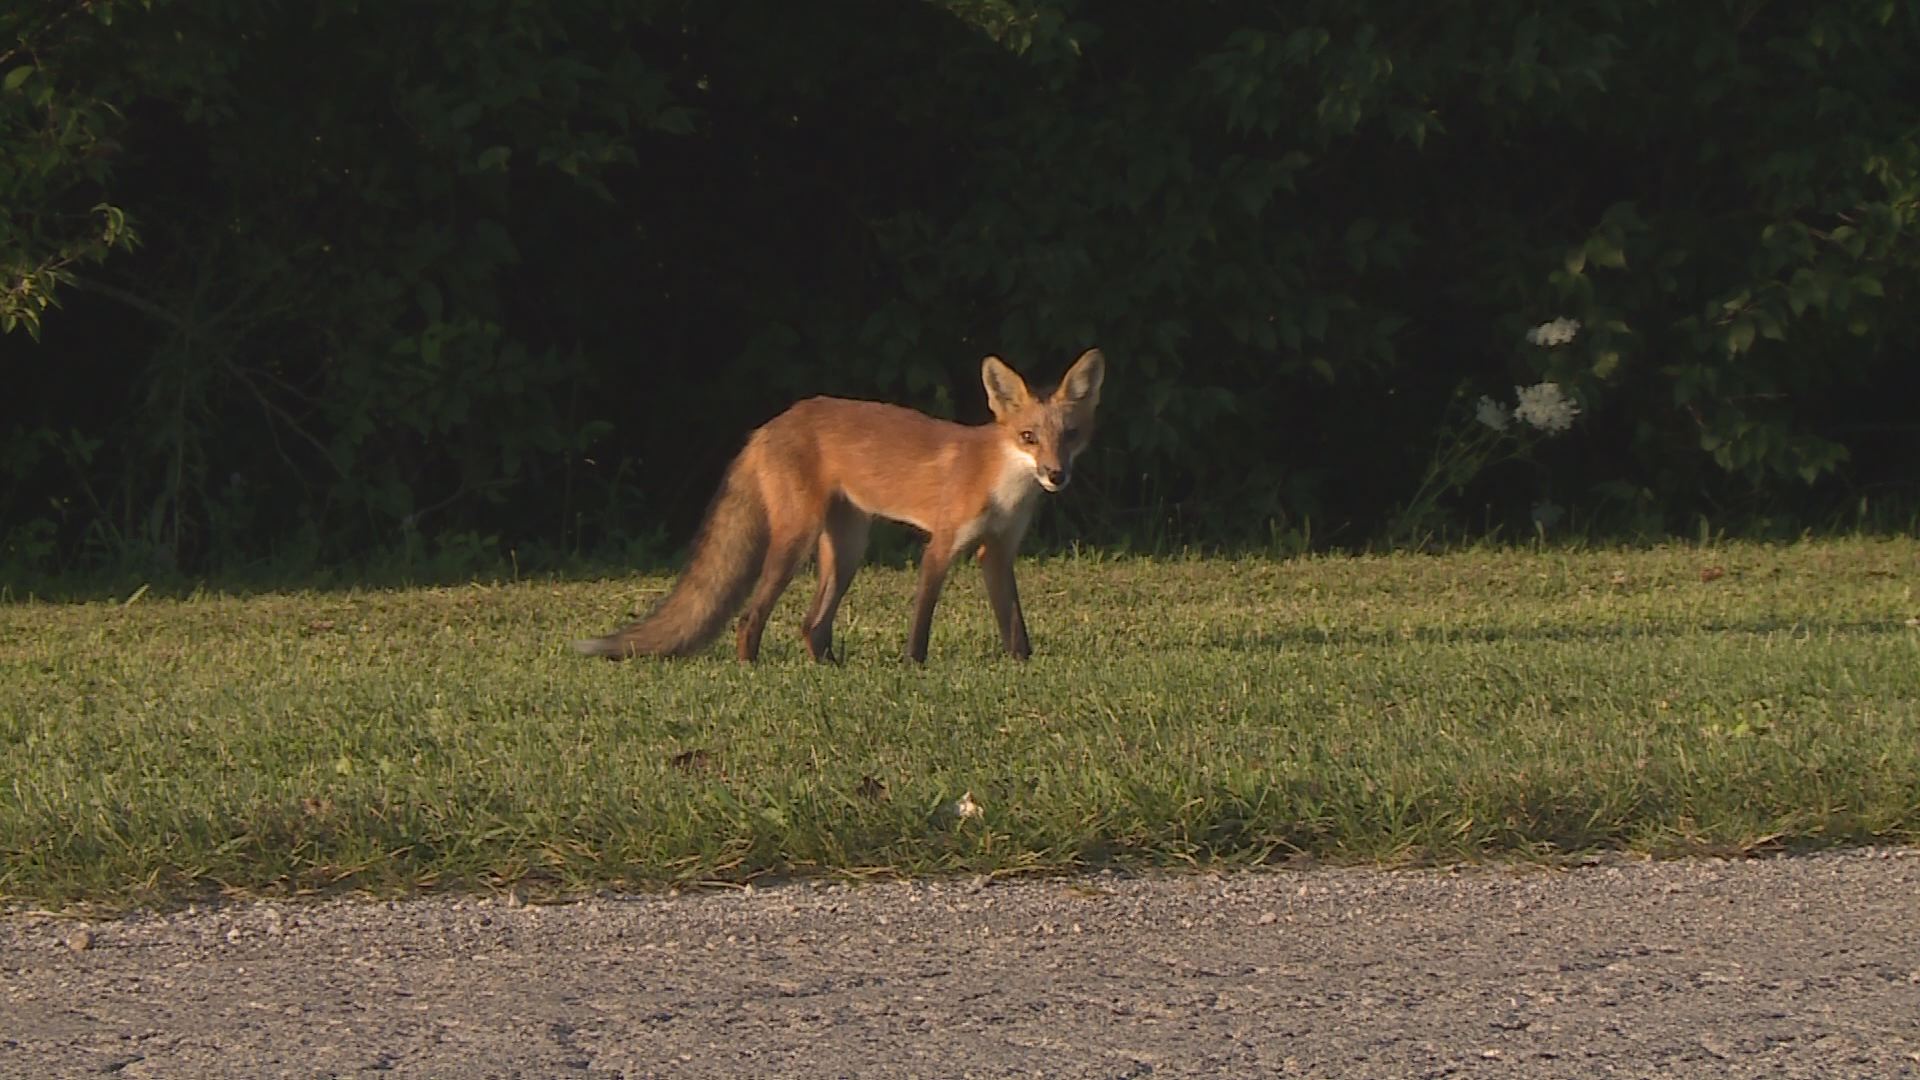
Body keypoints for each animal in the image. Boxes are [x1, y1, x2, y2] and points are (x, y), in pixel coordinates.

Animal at [573, 348, 1105, 664]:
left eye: (1071, 435)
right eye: (1028, 437)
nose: (1056, 475)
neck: (1002, 486)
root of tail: (770, 424)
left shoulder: (996, 552)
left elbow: (1014, 625)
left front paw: (1023, 666)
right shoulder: (939, 547)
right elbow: (921, 623)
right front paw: (913, 668)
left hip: (846, 550)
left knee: (812, 626)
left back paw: (828, 669)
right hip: (796, 541)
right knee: (750, 618)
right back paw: (751, 668)